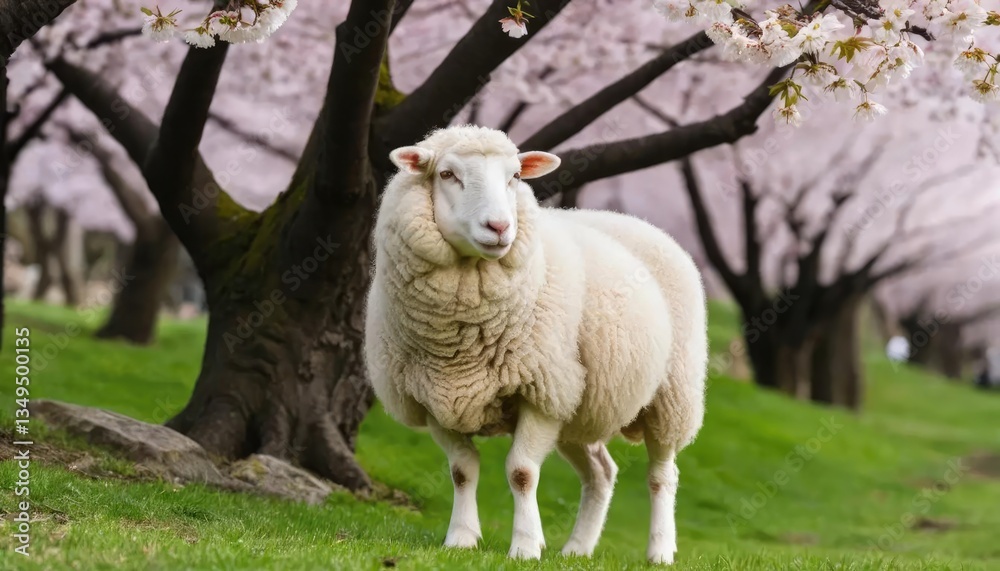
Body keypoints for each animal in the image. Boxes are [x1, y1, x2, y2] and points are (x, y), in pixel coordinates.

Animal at [364, 125, 707, 564]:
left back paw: (660, 551)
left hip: (672, 395)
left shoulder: (541, 392)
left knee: (662, 475)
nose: (499, 227)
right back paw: (577, 547)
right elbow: (462, 470)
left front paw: (525, 546)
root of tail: (635, 221)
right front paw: (461, 538)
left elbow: (522, 472)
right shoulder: (435, 399)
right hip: (579, 410)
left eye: (514, 176)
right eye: (446, 174)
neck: (460, 341)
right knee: (601, 472)